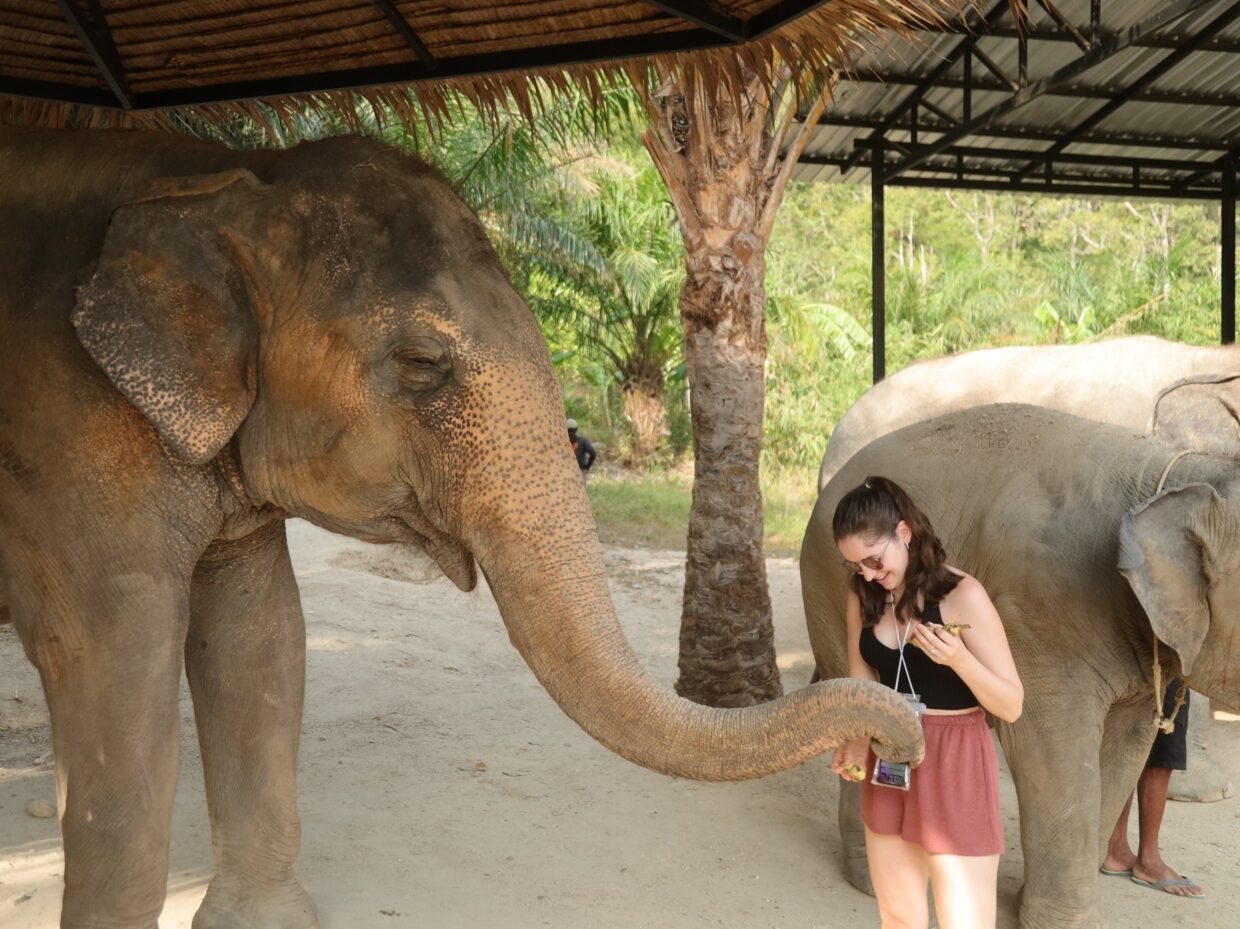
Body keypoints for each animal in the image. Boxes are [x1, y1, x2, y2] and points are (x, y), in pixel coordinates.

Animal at [0, 126, 924, 929]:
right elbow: (116, 663)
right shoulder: (69, 438)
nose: (903, 734)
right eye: (422, 364)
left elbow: (260, 641)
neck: (223, 176)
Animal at [802, 403, 1240, 929]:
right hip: (826, 586)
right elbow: (1048, 747)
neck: (1173, 474)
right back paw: (872, 881)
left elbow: (1124, 750)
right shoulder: (1038, 615)